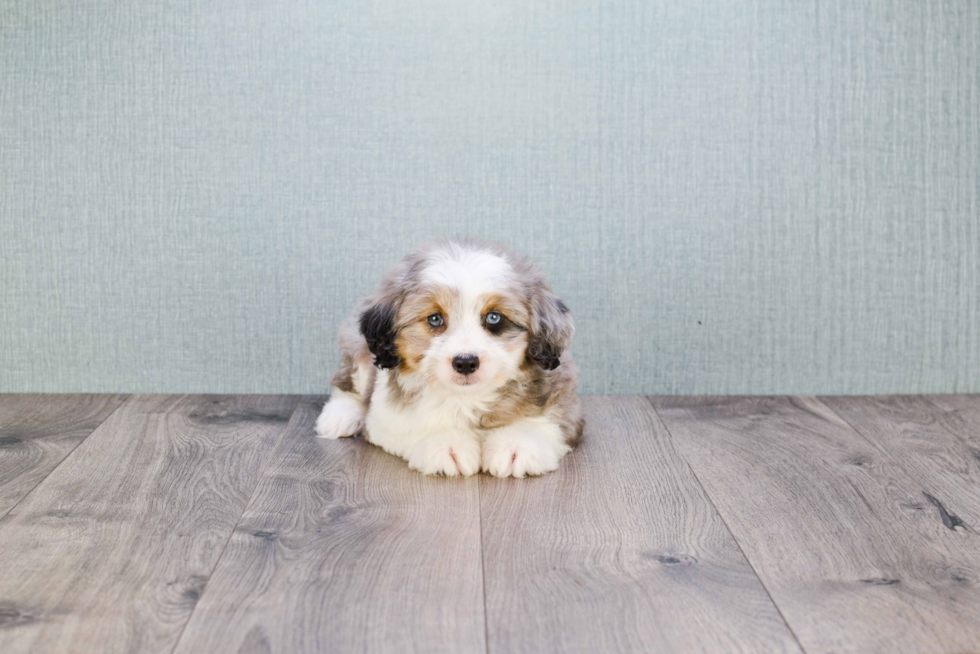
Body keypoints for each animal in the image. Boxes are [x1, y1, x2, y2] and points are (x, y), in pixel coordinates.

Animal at [312, 238, 580, 480]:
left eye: (494, 318)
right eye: (435, 319)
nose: (465, 362)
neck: (466, 397)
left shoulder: (563, 399)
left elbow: (546, 421)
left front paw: (516, 445)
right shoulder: (382, 416)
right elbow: (412, 425)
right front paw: (446, 444)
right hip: (357, 349)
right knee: (347, 381)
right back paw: (340, 415)